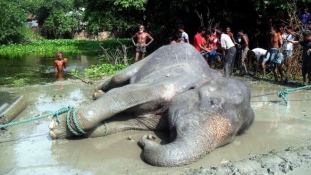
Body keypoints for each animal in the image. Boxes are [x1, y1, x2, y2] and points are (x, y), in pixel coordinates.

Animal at [47, 42, 255, 167]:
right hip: (148, 57)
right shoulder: (164, 85)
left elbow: (121, 123)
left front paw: (63, 129)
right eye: (212, 103)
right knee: (118, 78)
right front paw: (55, 127)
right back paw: (97, 92)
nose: (148, 139)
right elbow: (122, 94)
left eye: (233, 135)